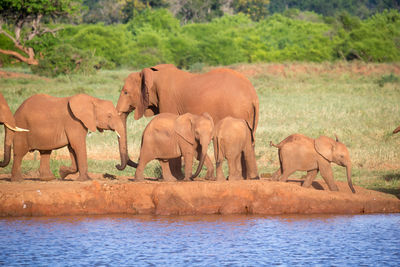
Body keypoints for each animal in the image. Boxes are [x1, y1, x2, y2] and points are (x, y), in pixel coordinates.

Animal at [115, 63, 260, 179]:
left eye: (126, 92)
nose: (117, 165)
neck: (153, 74)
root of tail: (253, 95)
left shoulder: (167, 99)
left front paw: (177, 177)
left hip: (237, 111)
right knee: (250, 141)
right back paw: (248, 178)